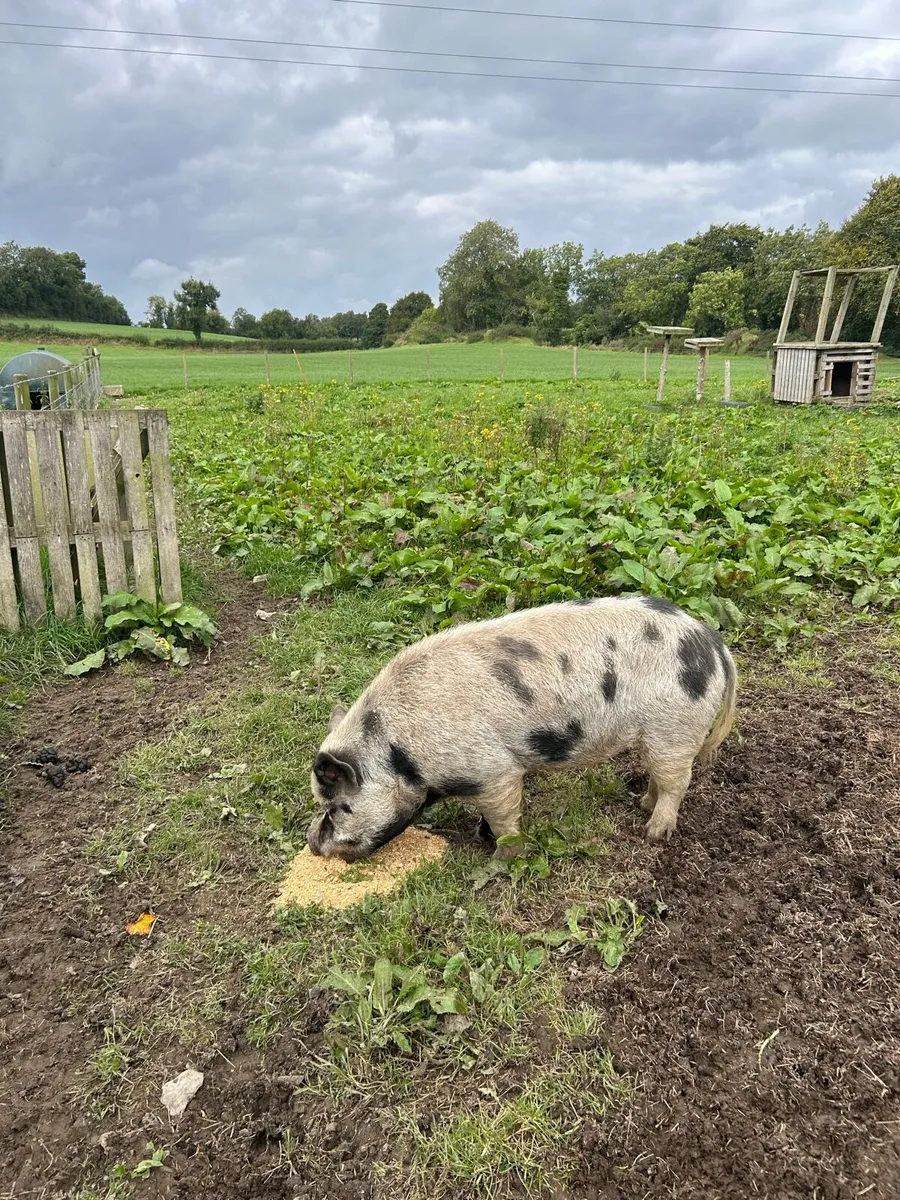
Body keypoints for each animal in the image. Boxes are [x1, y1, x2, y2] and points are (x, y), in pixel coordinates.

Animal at [306, 595, 736, 861]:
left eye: (338, 806)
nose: (311, 843)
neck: (400, 754)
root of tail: (712, 642)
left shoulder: (492, 771)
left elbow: (504, 815)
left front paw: (500, 857)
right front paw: (481, 837)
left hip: (675, 726)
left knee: (678, 781)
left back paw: (653, 832)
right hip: (659, 734)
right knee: (660, 778)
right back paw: (643, 805)